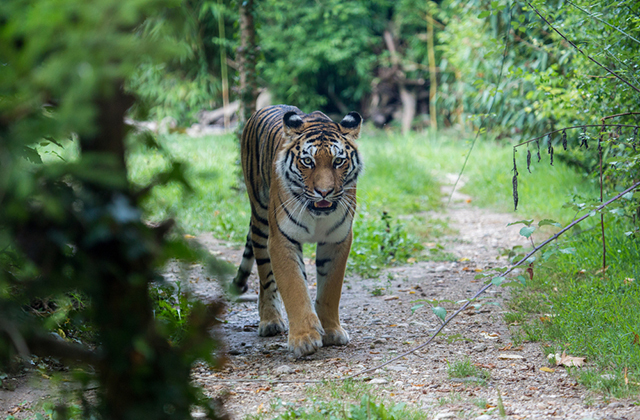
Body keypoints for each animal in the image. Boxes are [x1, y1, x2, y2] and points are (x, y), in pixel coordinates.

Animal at [231, 103, 362, 356]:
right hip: (261, 222)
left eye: (338, 161)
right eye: (308, 161)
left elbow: (330, 290)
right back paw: (270, 321)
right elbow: (294, 287)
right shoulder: (282, 239)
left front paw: (331, 331)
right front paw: (304, 339)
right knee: (265, 278)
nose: (324, 192)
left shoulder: (337, 239)